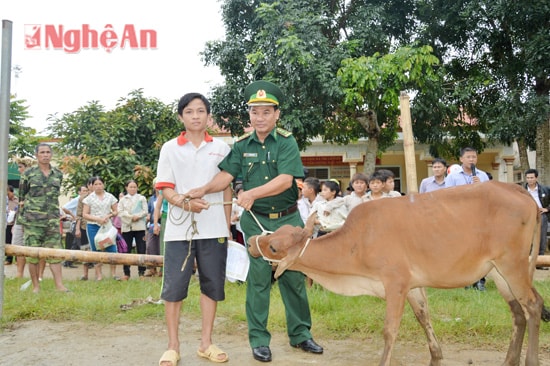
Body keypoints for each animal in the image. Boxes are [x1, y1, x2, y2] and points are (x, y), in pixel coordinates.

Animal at [249, 182, 544, 366]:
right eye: (276, 233)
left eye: (273, 246)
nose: (251, 241)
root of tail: (519, 189)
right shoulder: (412, 287)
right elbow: (424, 317)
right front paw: (436, 357)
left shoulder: (396, 284)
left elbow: (390, 330)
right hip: (498, 273)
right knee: (518, 313)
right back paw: (509, 360)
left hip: (513, 265)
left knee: (534, 305)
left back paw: (530, 359)